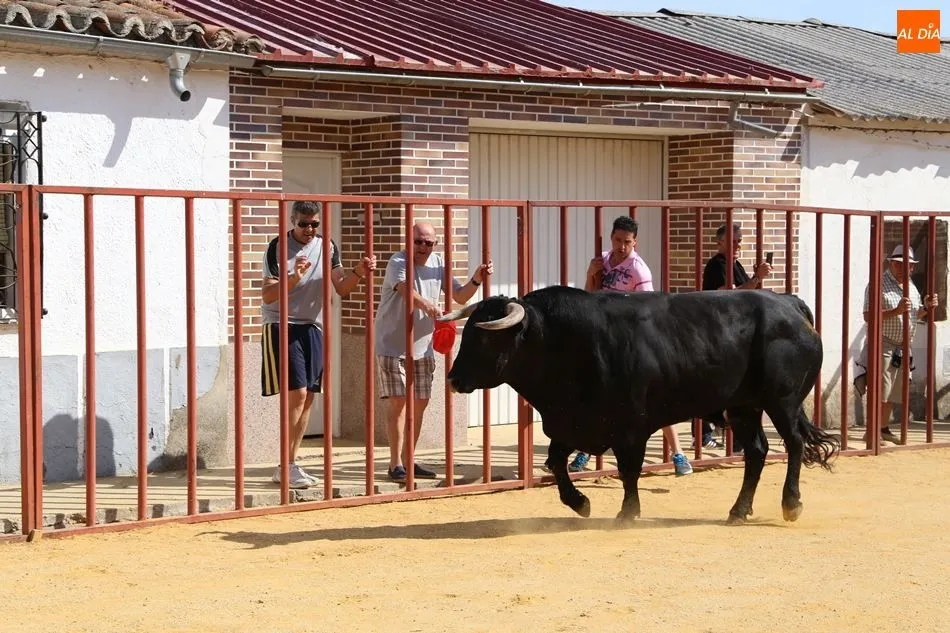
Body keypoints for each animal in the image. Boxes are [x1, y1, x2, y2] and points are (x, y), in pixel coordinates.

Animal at [436, 285, 839, 524]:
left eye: (485, 339)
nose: (453, 379)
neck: (562, 342)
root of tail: (789, 304)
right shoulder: (571, 422)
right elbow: (556, 463)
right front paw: (580, 503)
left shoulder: (631, 427)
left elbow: (629, 471)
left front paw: (627, 513)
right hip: (743, 407)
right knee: (756, 452)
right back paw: (739, 510)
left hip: (782, 401)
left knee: (793, 444)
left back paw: (791, 504)